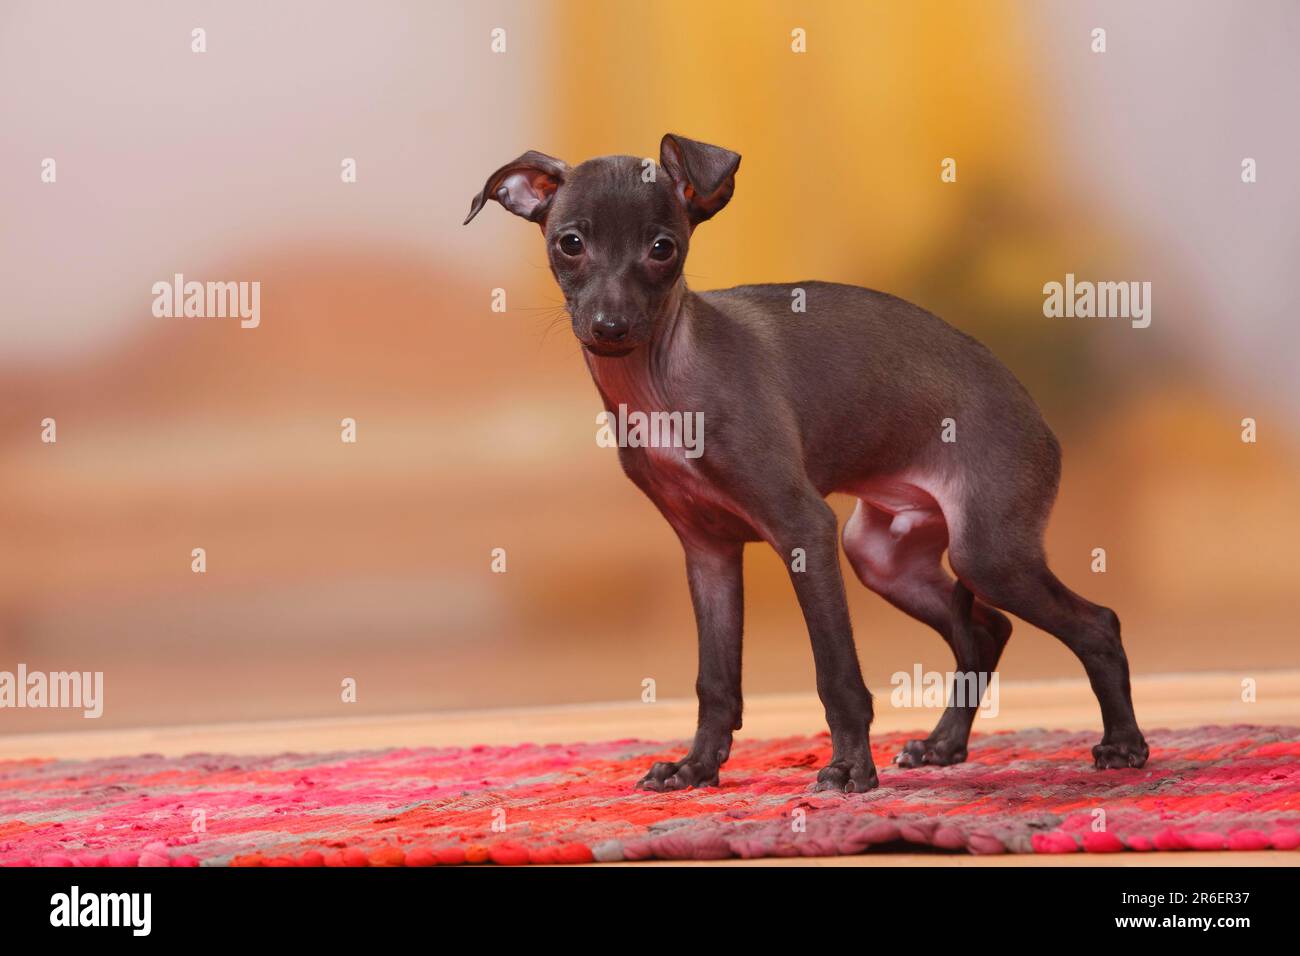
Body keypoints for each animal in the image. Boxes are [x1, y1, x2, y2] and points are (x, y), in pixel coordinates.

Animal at [467, 134, 1149, 790]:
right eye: (570, 243)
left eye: (663, 248)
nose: (610, 327)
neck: (662, 379)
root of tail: (1040, 417)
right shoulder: (708, 553)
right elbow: (715, 681)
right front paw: (696, 768)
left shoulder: (804, 531)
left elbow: (836, 674)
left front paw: (850, 770)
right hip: (883, 556)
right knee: (985, 629)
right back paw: (944, 745)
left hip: (987, 552)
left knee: (1097, 624)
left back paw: (1123, 744)